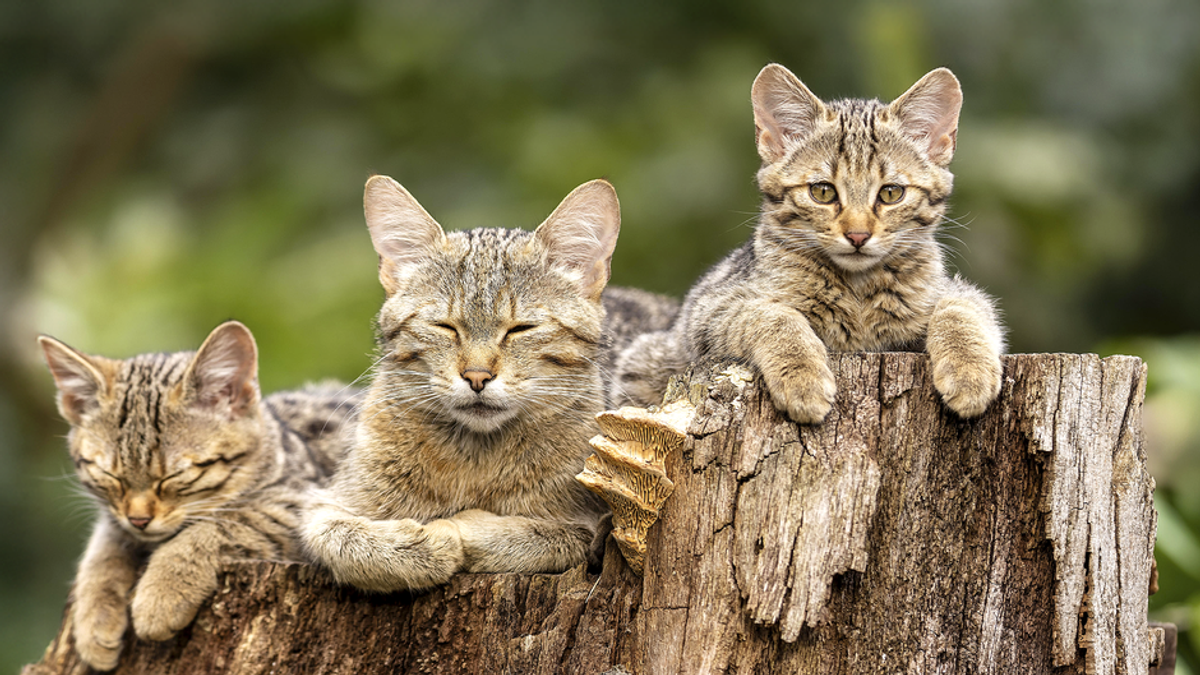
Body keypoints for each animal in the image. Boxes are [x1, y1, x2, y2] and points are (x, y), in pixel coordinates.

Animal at [42, 321, 360, 667]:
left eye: (174, 476)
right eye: (111, 476)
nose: (139, 519)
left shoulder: (304, 502)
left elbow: (217, 527)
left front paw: (161, 594)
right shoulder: (114, 520)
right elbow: (101, 551)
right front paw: (93, 618)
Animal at [298, 176, 619, 590]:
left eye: (521, 329)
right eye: (444, 327)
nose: (477, 376)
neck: (473, 461)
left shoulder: (591, 524)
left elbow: (542, 535)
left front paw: (455, 528)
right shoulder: (323, 503)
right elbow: (343, 538)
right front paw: (423, 544)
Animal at [619, 64, 1003, 420]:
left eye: (892, 193)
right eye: (822, 192)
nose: (858, 235)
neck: (858, 292)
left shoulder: (951, 292)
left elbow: (962, 308)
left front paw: (970, 371)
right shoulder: (708, 310)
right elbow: (773, 313)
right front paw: (802, 376)